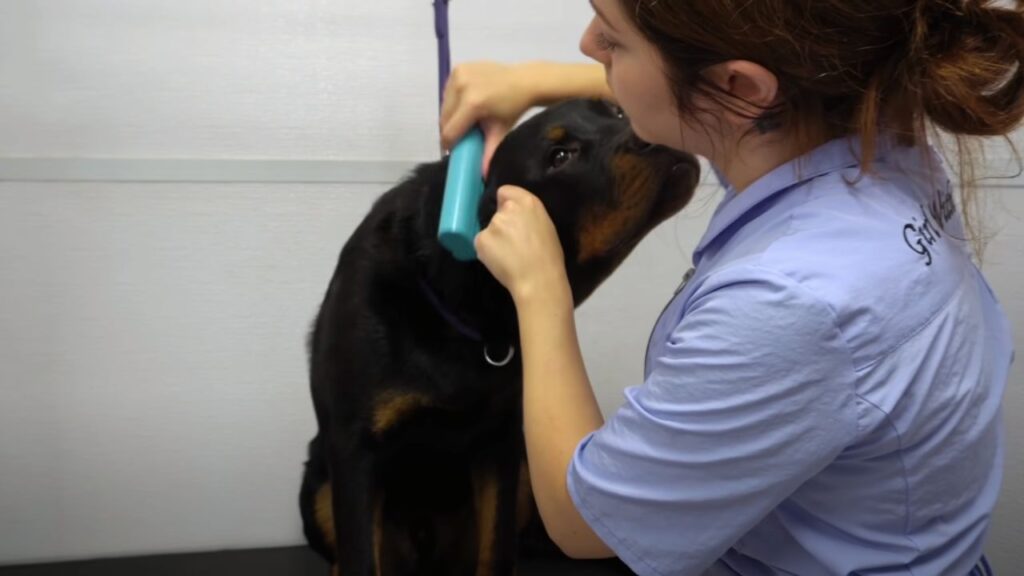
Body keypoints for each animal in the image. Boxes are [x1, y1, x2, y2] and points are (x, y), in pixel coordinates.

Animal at [296, 99, 696, 573]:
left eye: (615, 112)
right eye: (560, 156)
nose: (654, 129)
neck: (460, 311)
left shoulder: (499, 443)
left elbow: (496, 548)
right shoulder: (356, 448)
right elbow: (361, 555)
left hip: (523, 475)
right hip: (318, 485)